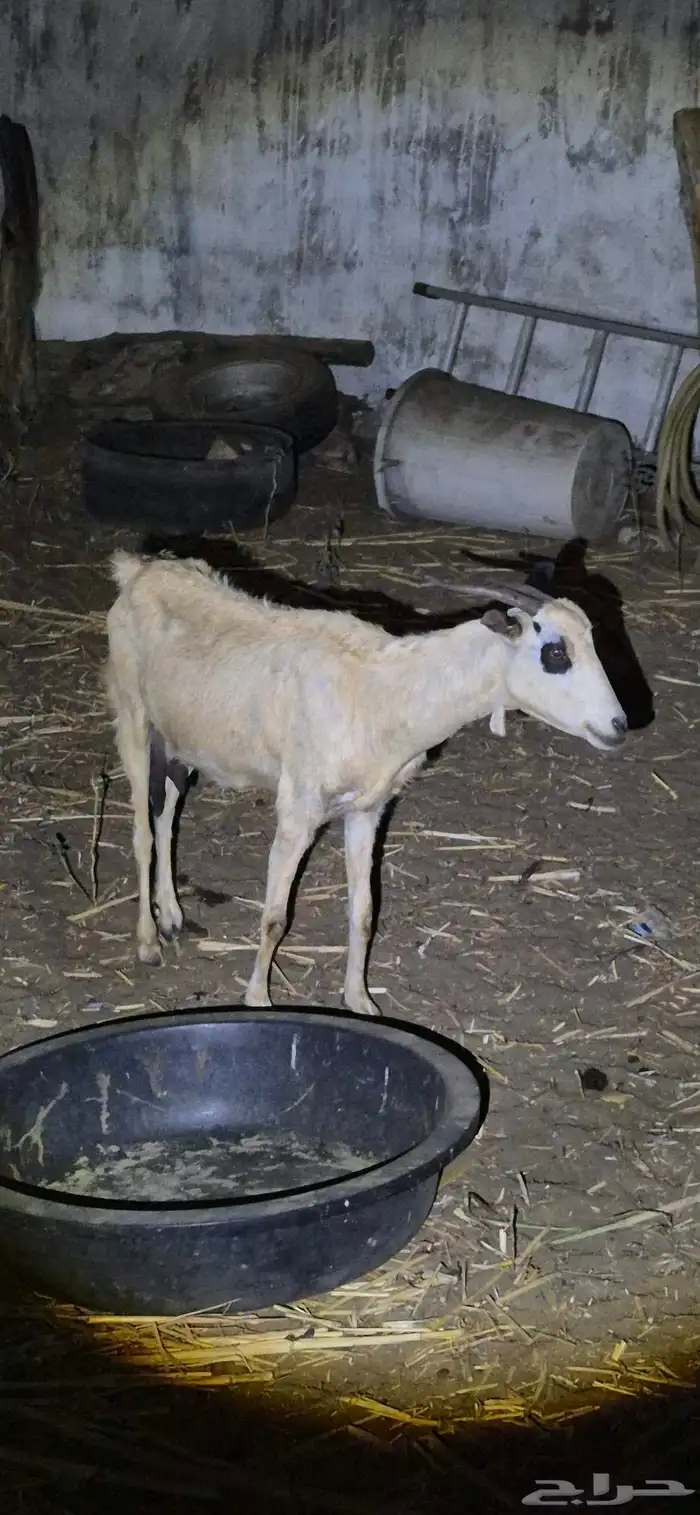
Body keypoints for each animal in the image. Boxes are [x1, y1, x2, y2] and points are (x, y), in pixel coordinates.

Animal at [105, 551, 628, 1016]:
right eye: (556, 652)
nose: (619, 725)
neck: (381, 692)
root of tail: (137, 570)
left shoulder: (367, 809)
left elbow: (363, 911)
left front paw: (360, 1001)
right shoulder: (299, 807)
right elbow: (274, 917)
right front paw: (258, 999)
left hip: (181, 738)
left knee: (167, 809)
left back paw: (172, 915)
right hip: (132, 715)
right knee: (142, 833)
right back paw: (148, 942)